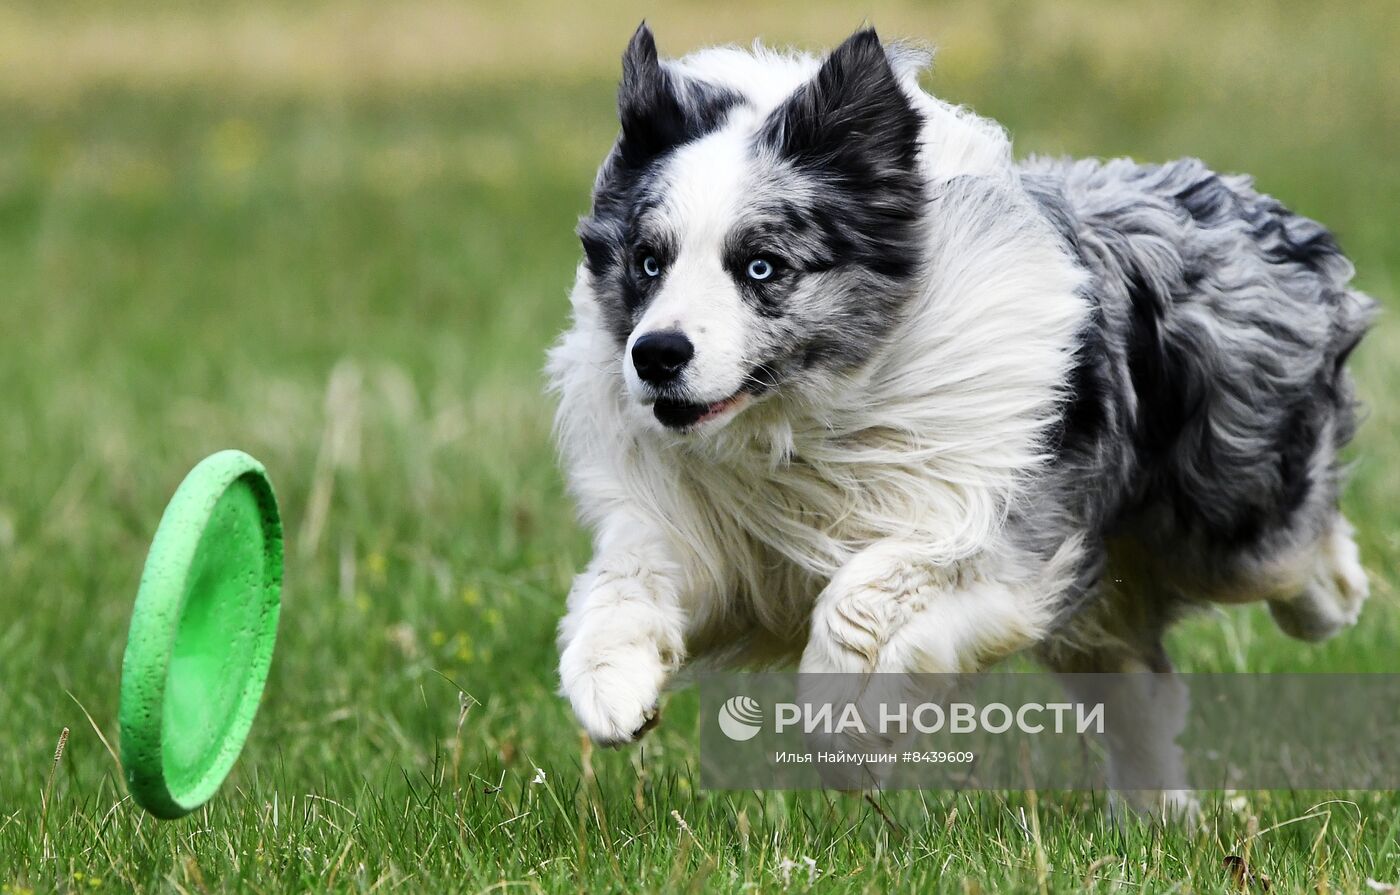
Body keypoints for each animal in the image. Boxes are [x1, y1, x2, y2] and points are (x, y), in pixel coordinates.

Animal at [546, 26, 1377, 812]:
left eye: (760, 266)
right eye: (649, 261)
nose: (655, 354)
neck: (804, 421)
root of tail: (1233, 198)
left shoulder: (994, 529)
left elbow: (868, 588)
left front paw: (845, 732)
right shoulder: (711, 539)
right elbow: (628, 574)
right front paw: (611, 685)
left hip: (1230, 514)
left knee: (1291, 555)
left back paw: (1335, 597)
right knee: (1140, 690)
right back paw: (1160, 818)